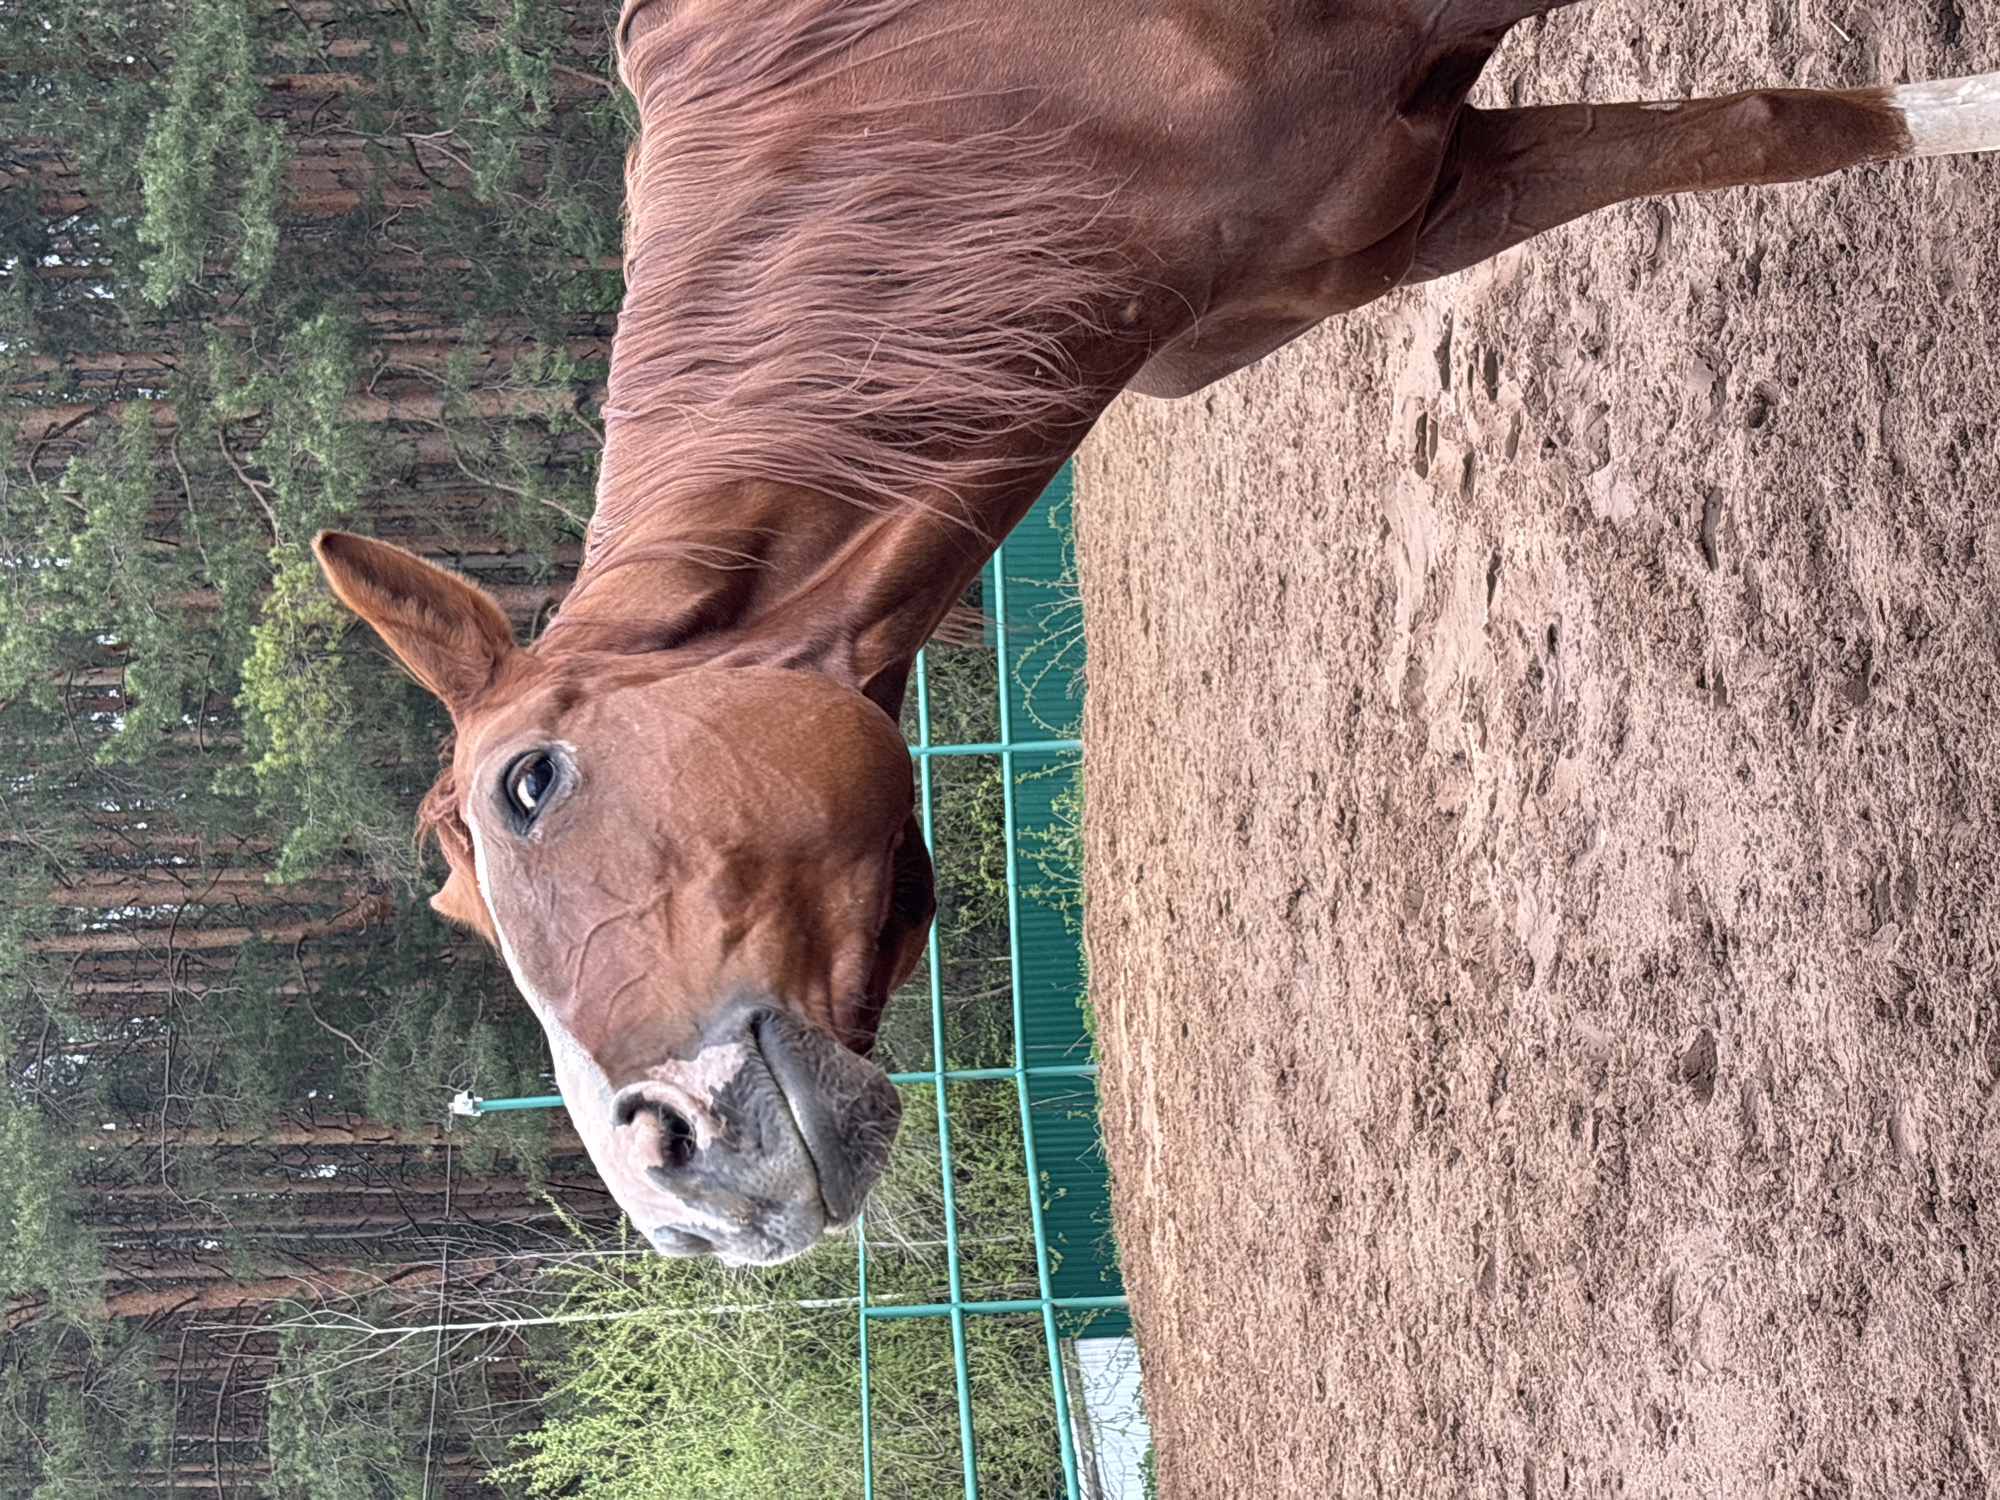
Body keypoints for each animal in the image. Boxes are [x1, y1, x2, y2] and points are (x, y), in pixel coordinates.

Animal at [312, 0, 2000, 1264]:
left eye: (534, 785)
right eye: (463, 912)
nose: (676, 1191)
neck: (988, 85)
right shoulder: (1413, 211)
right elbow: (1788, 130)